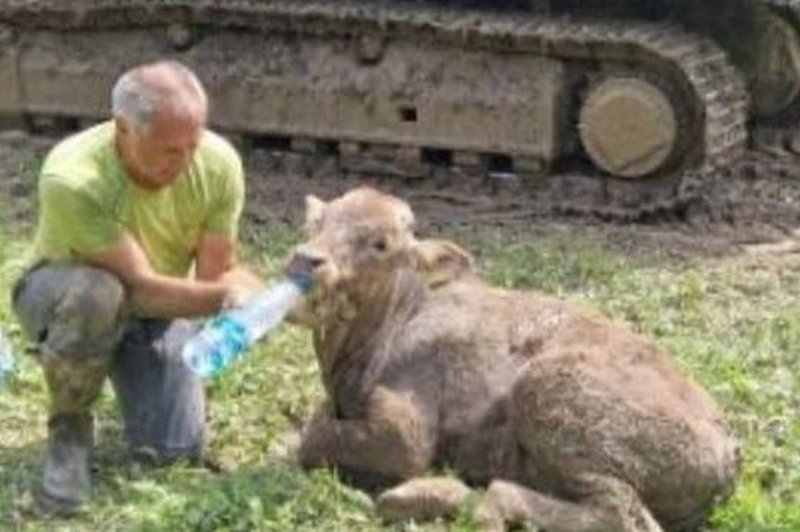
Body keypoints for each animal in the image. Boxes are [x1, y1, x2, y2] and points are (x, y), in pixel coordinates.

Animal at [286, 186, 736, 528]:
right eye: (316, 224)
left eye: (381, 244)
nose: (307, 260)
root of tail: (729, 455)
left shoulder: (405, 434)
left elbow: (314, 439)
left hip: (547, 393)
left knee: (620, 513)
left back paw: (420, 494)